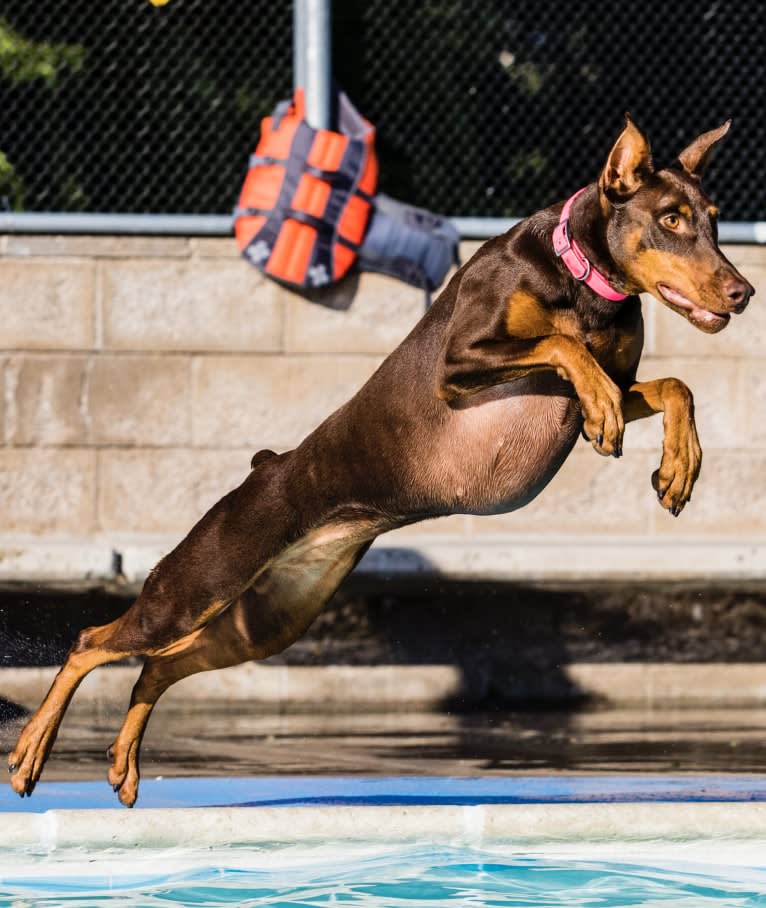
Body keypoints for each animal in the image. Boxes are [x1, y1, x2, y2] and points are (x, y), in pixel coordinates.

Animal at [7, 117, 756, 804]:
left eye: (716, 221)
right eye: (670, 218)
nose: (742, 292)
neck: (585, 279)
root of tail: (267, 467)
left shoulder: (621, 375)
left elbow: (673, 386)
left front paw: (679, 466)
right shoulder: (460, 365)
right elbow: (562, 347)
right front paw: (601, 409)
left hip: (270, 620)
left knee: (156, 668)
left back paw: (122, 763)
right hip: (199, 581)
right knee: (92, 641)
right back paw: (30, 753)